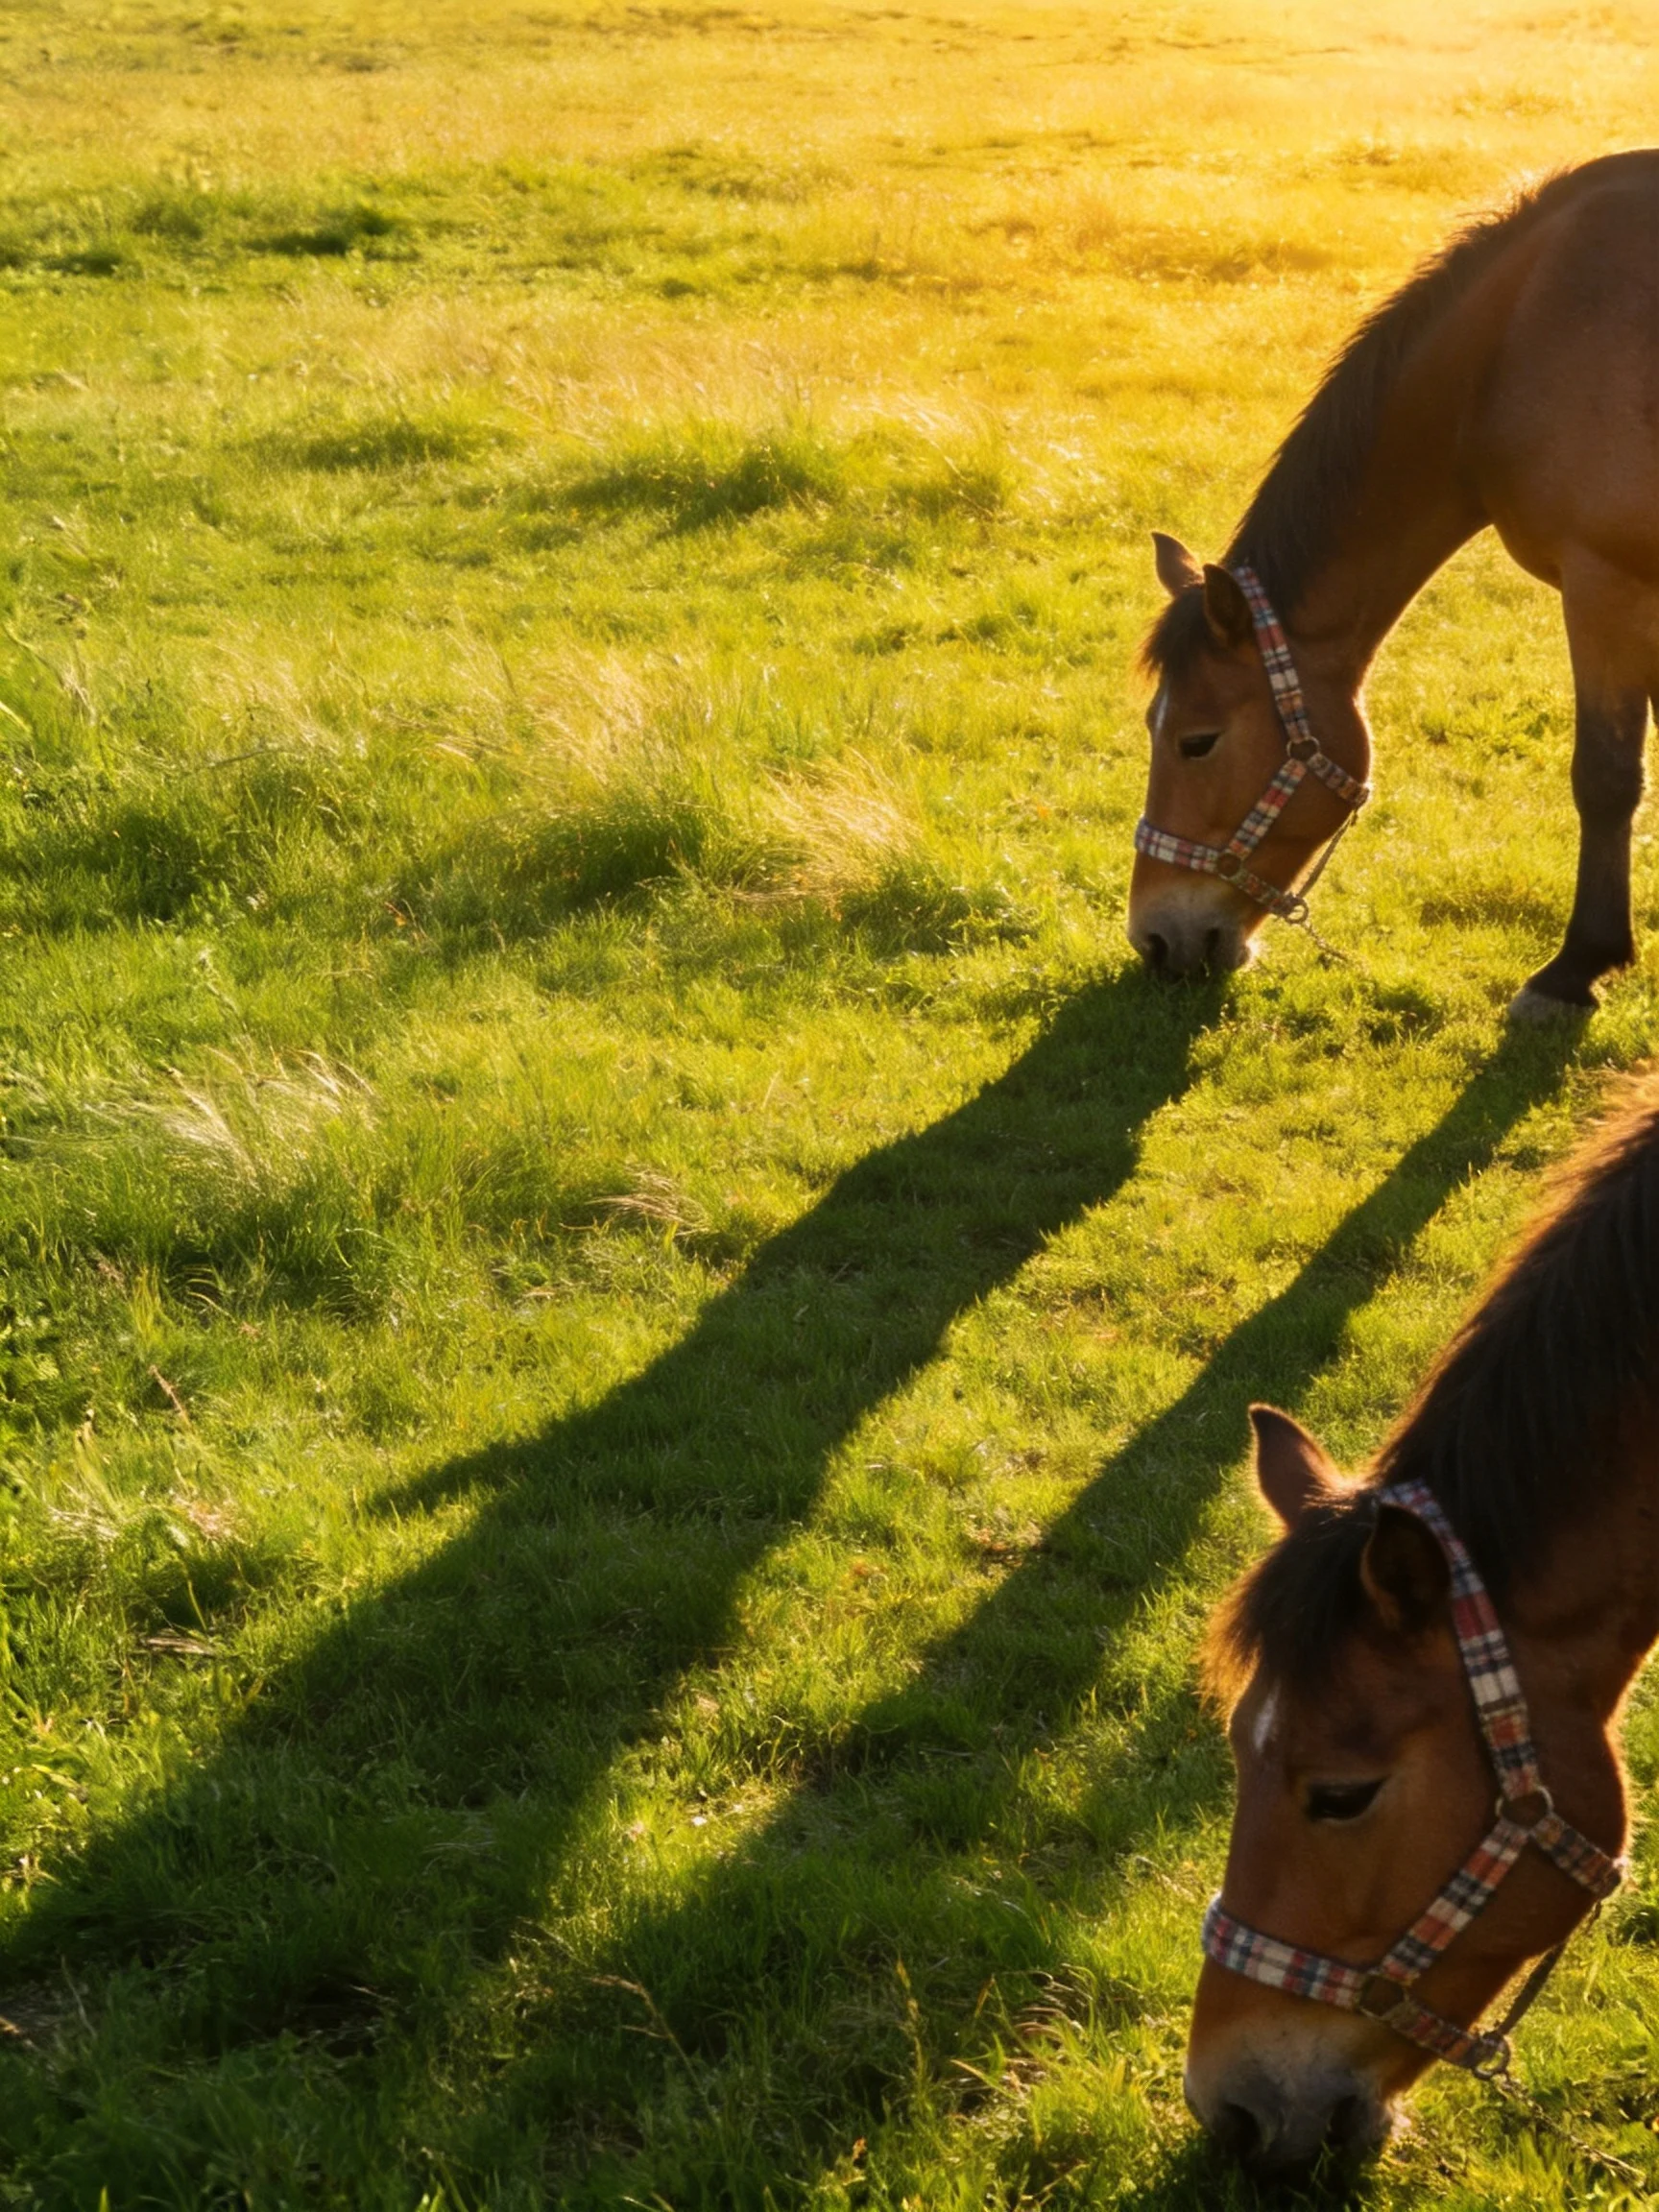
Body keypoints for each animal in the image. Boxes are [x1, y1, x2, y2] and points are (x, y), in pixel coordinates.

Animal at [1128, 150, 1659, 1017]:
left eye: (1196, 741)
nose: (1153, 938)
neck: (1523, 338)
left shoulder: (1605, 586)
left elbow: (1606, 778)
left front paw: (1575, 967)